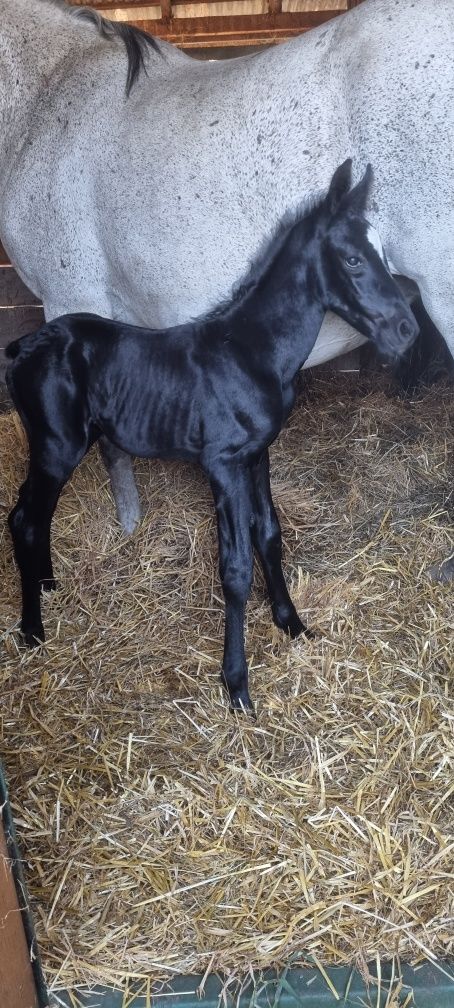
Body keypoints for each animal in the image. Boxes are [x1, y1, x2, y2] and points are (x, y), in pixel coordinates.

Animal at [6, 159, 417, 709]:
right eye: (352, 259)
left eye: (383, 254)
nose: (407, 331)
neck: (250, 351)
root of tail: (22, 347)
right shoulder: (222, 464)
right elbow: (236, 568)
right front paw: (237, 683)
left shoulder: (257, 456)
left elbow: (269, 535)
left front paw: (292, 623)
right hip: (56, 447)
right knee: (25, 517)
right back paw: (32, 629)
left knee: (31, 513)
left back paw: (49, 584)